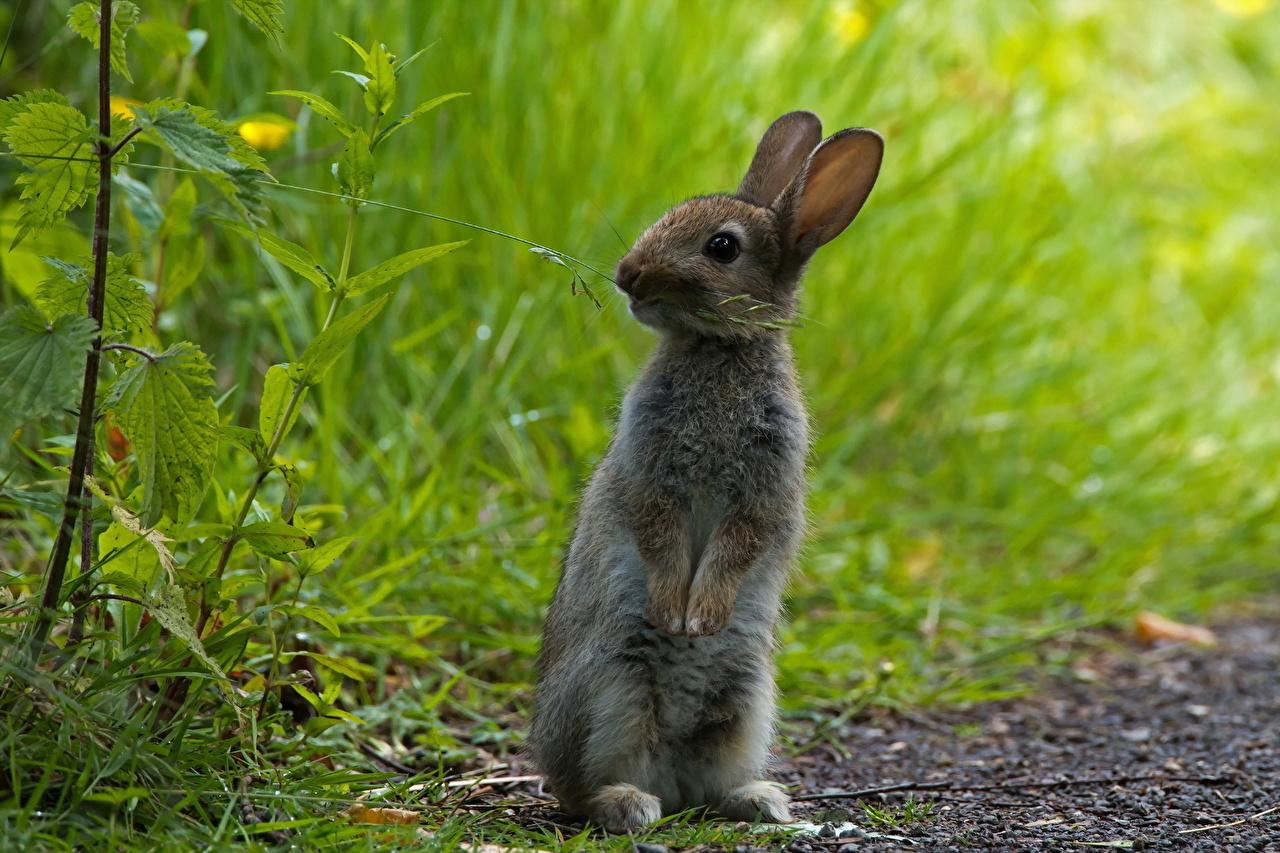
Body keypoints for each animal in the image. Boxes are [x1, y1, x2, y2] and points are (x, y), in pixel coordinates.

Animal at [527, 108, 880, 829]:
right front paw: (675, 615)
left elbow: (738, 544)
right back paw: (630, 803)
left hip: (745, 702)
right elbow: (659, 532)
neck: (719, 349)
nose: (628, 275)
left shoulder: (764, 492)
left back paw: (758, 798)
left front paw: (702, 620)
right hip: (613, 686)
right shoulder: (651, 474)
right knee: (582, 789)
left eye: (722, 247)